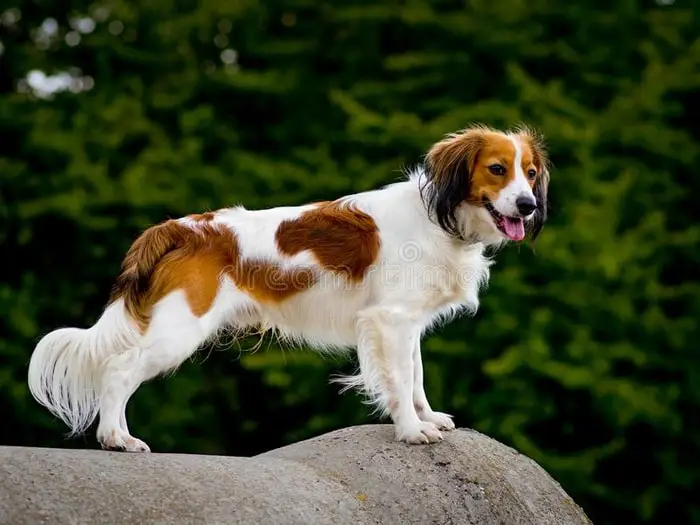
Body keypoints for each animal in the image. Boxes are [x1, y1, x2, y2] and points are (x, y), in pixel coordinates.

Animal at [27, 123, 548, 450]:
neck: (440, 220)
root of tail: (180, 227)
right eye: (497, 169)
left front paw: (428, 417)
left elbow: (416, 377)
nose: (527, 205)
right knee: (118, 370)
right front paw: (411, 431)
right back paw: (116, 438)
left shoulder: (406, 325)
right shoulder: (391, 321)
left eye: (531, 173)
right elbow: (401, 381)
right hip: (178, 330)